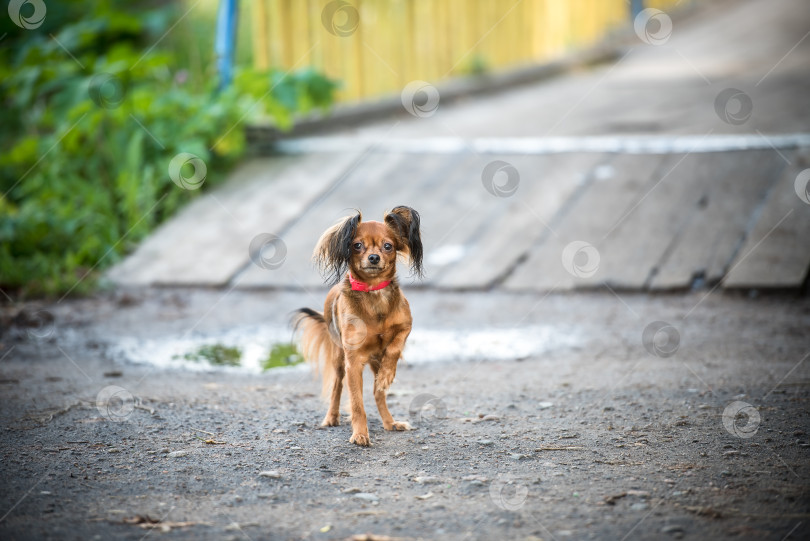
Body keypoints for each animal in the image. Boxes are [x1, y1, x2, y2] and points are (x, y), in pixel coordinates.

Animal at [296, 205, 422, 446]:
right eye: (357, 245)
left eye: (388, 246)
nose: (373, 257)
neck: (374, 292)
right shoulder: (353, 363)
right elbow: (357, 404)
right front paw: (360, 434)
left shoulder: (406, 327)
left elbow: (394, 347)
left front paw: (388, 374)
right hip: (339, 359)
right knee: (337, 387)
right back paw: (331, 418)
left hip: (373, 361)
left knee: (379, 394)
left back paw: (390, 422)